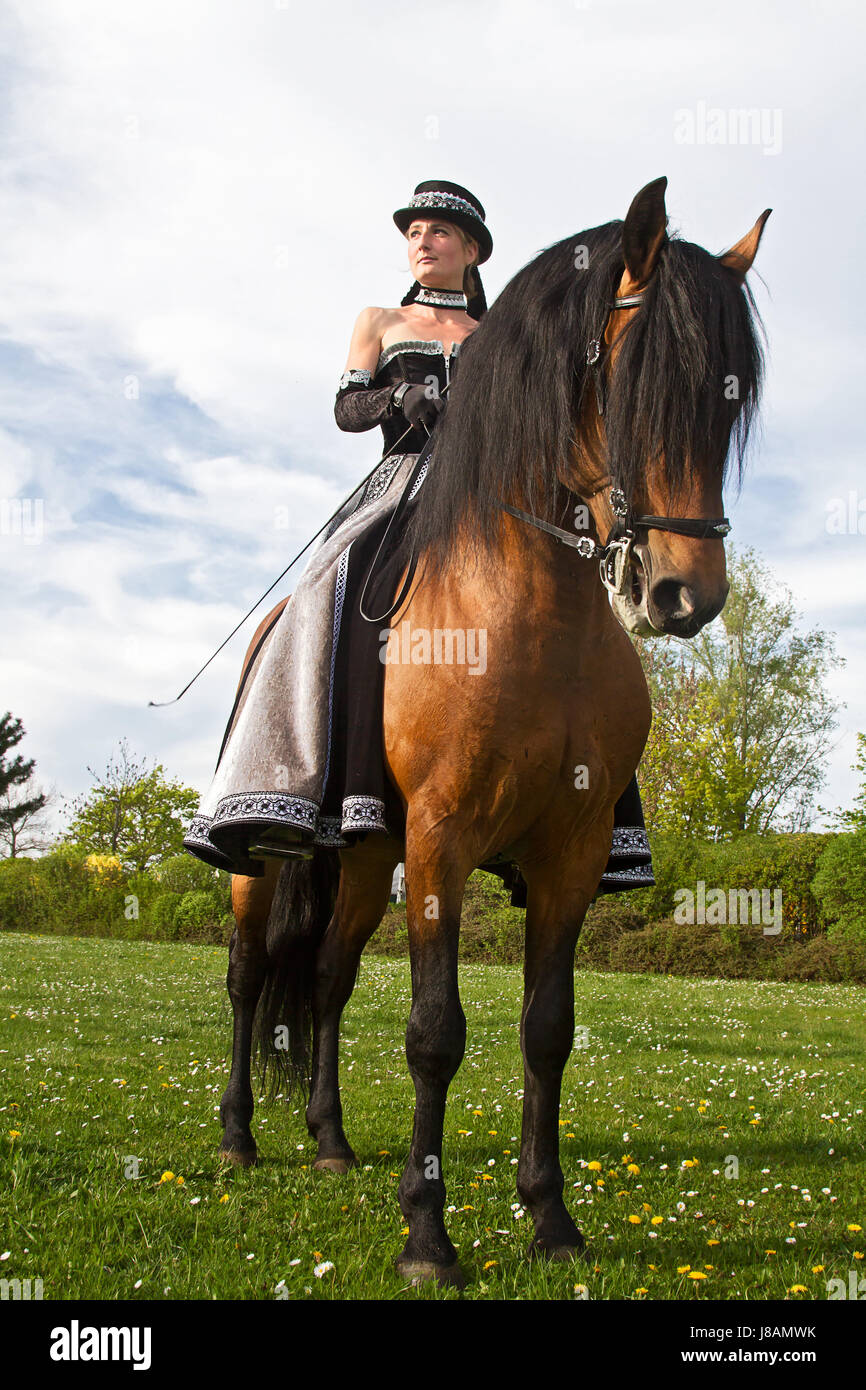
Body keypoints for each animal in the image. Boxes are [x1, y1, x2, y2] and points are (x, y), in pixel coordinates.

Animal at [217, 177, 769, 1287]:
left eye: (727, 399)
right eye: (631, 378)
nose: (684, 596)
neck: (531, 615)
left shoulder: (569, 850)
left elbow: (545, 1029)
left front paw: (549, 1219)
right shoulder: (443, 838)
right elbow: (435, 1031)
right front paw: (427, 1239)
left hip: (361, 855)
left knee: (327, 979)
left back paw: (329, 1140)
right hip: (268, 857)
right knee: (251, 977)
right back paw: (239, 1134)